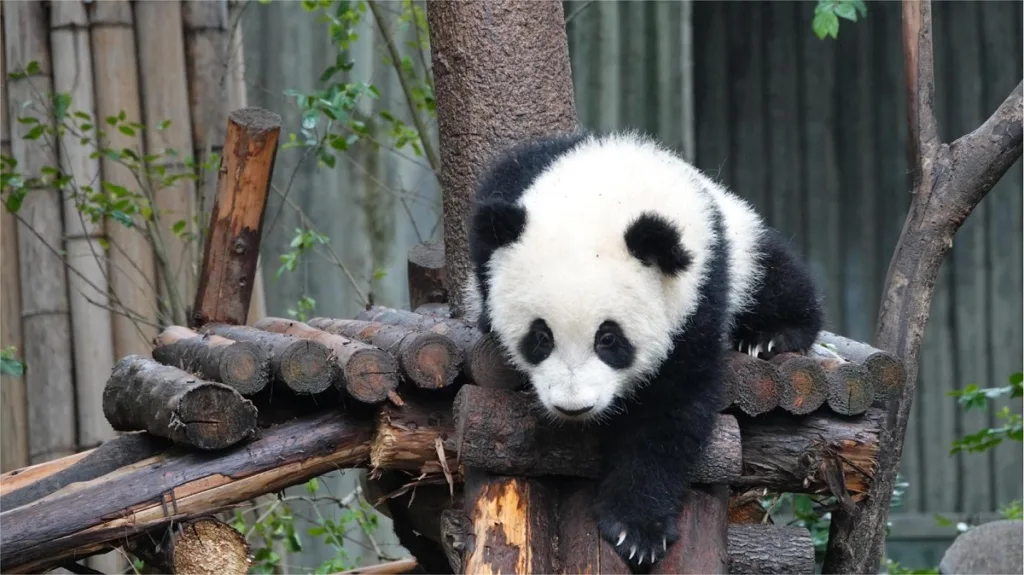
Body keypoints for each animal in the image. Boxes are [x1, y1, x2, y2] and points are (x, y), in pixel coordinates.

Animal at [463, 130, 823, 570]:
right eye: (541, 337)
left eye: (609, 339)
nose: (573, 406)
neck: (606, 188)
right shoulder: (510, 189)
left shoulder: (698, 293)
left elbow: (670, 410)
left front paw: (636, 529)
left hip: (743, 243)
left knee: (775, 274)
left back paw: (772, 335)